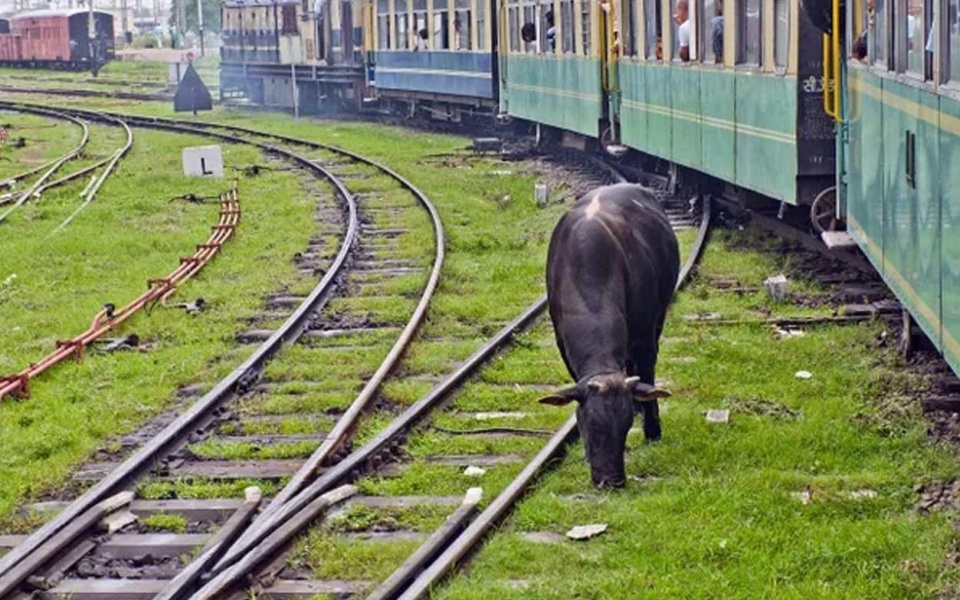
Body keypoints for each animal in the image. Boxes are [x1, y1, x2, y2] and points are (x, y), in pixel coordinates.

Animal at [540, 182, 684, 488]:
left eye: (626, 425)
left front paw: (652, 430)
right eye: (591, 424)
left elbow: (648, 372)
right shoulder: (562, 342)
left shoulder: (645, 335)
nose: (612, 480)